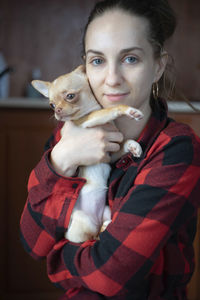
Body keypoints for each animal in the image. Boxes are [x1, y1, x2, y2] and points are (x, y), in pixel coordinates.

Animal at [32, 65, 143, 244]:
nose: (57, 110)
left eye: (70, 96)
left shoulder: (109, 154)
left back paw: (105, 224)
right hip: (83, 224)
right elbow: (109, 110)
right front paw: (127, 110)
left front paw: (133, 146)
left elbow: (123, 143)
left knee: (101, 227)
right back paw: (99, 231)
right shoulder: (86, 122)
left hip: (106, 210)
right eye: (51, 105)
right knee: (91, 238)